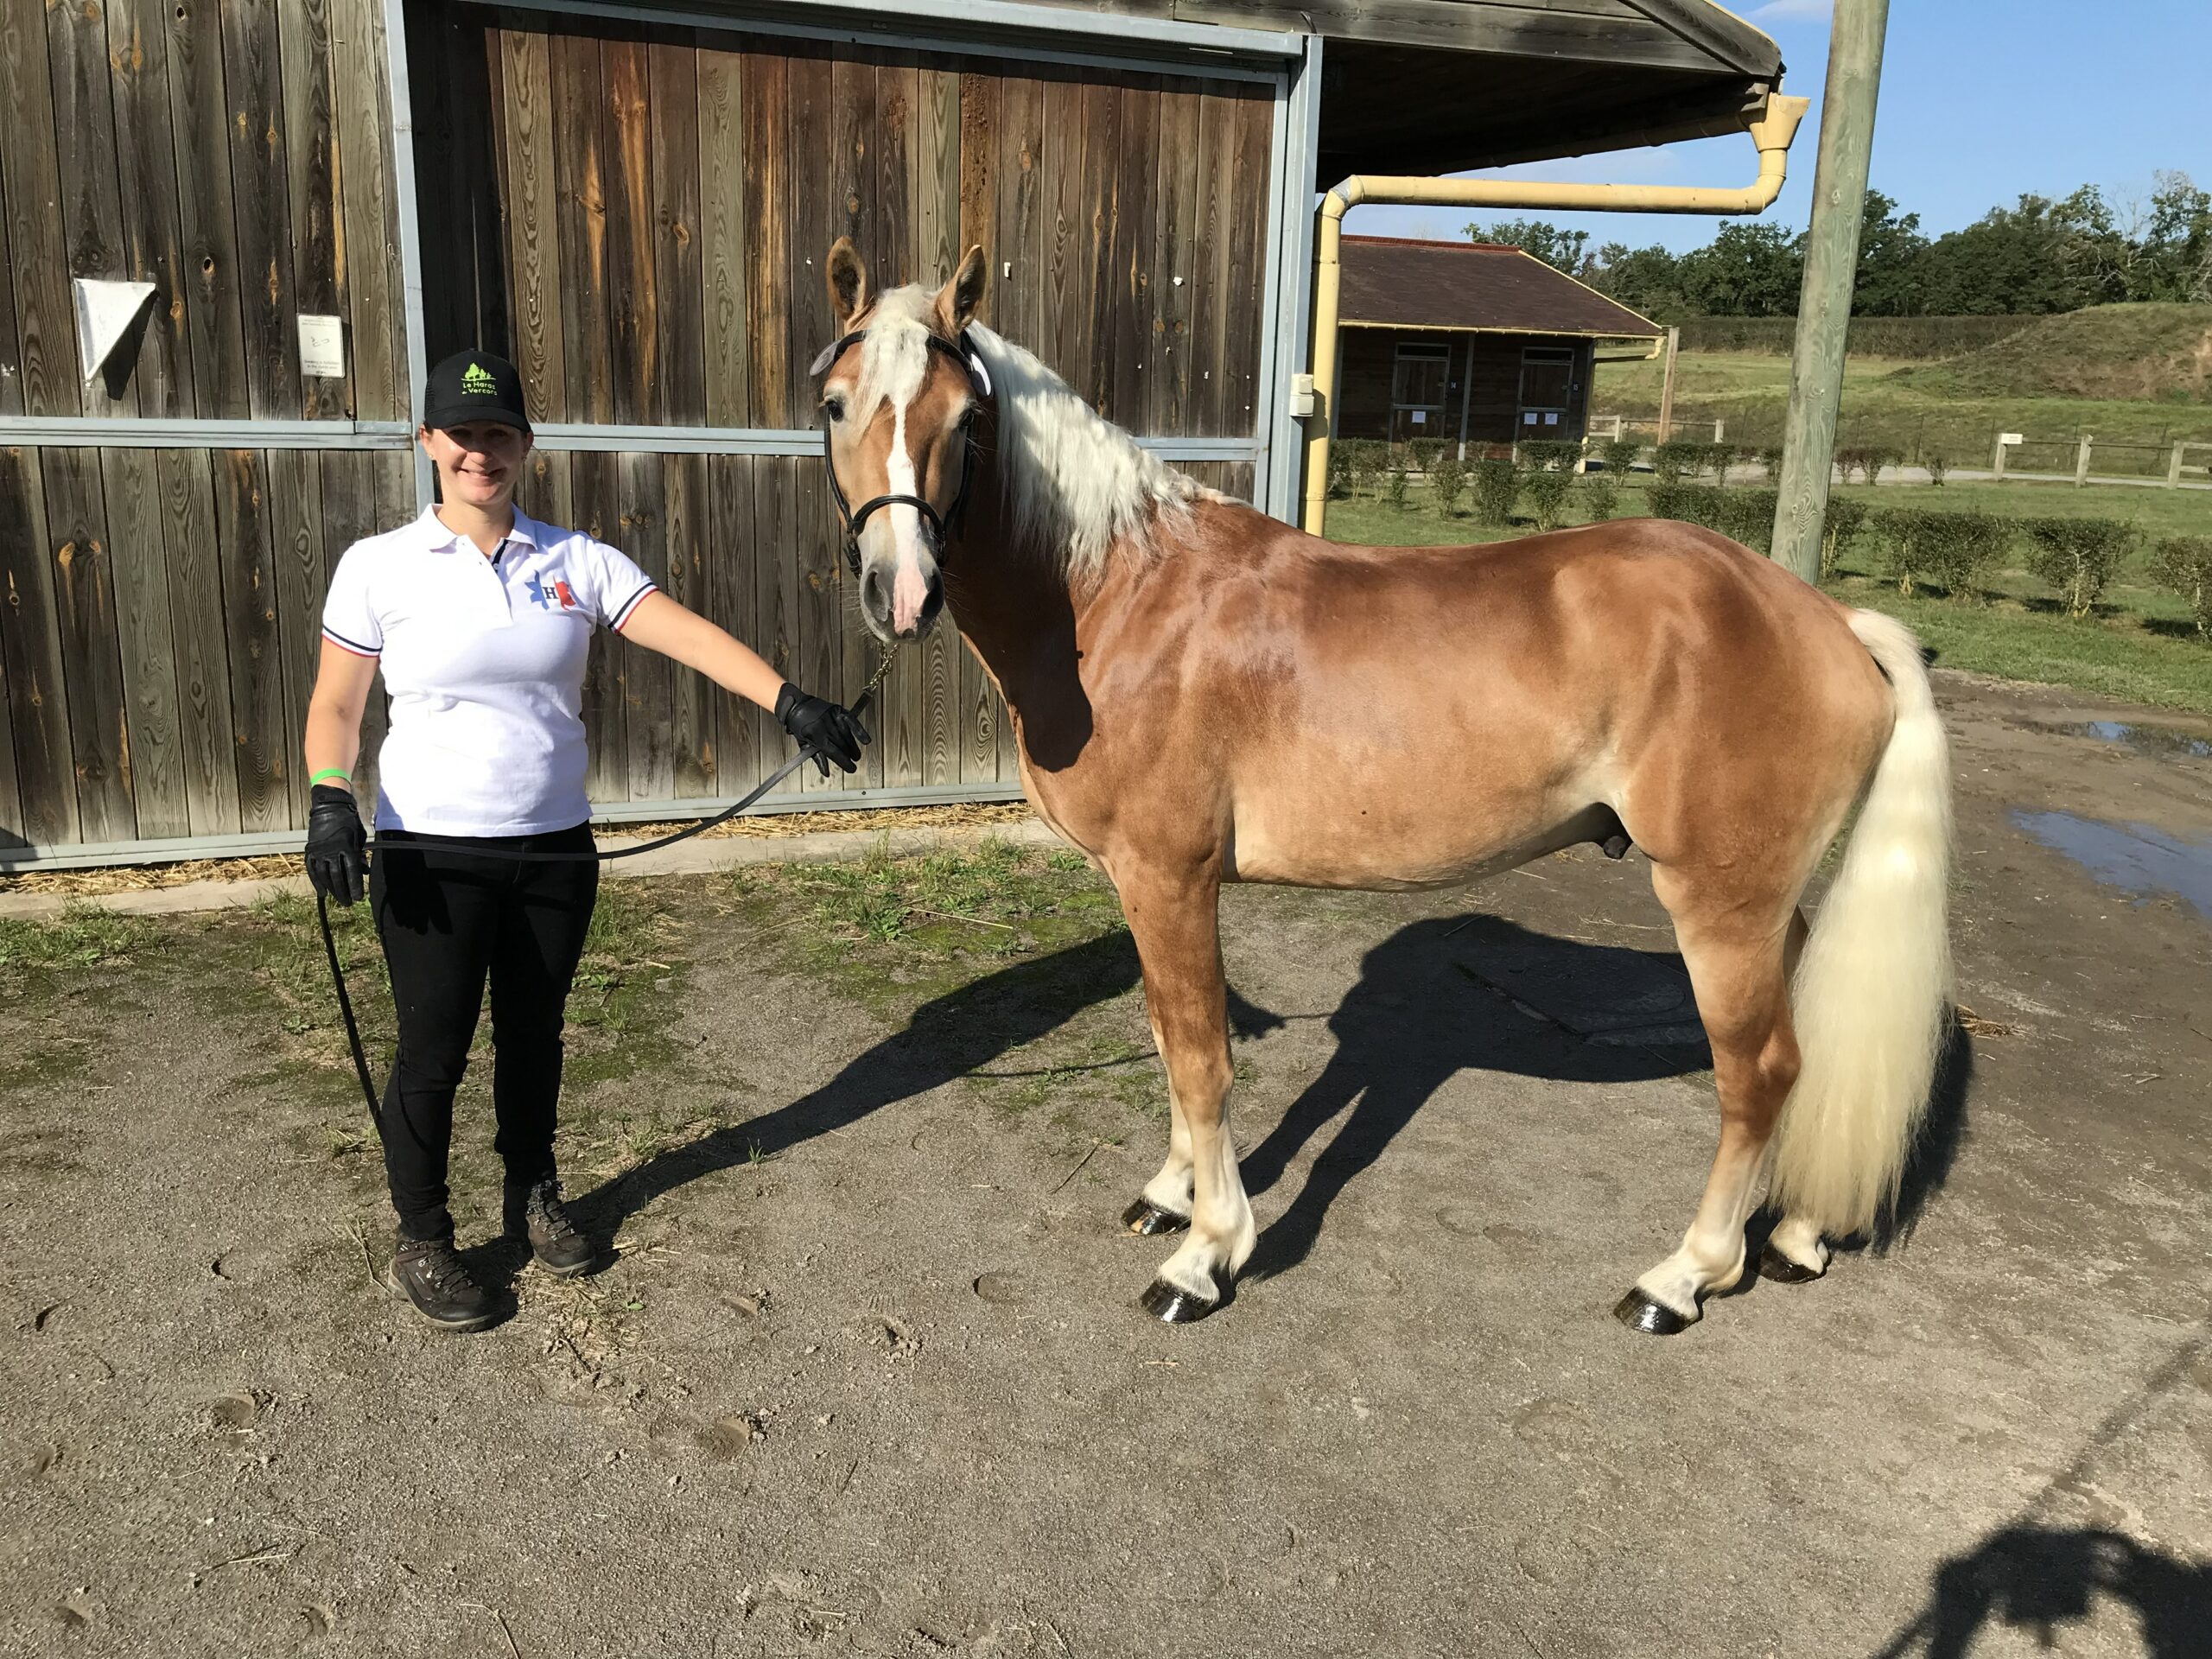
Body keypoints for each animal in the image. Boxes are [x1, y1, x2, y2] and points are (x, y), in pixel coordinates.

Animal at [811, 236, 1953, 1333]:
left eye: (965, 416)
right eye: (834, 402)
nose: (900, 592)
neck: (1116, 596)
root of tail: (1827, 619)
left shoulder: (1171, 878)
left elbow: (1200, 1056)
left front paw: (1207, 1253)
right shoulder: (1138, 888)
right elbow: (1164, 1034)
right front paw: (1171, 1195)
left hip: (1719, 907)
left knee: (1758, 1074)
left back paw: (1682, 1278)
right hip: (1767, 908)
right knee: (1806, 1056)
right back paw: (1795, 1232)